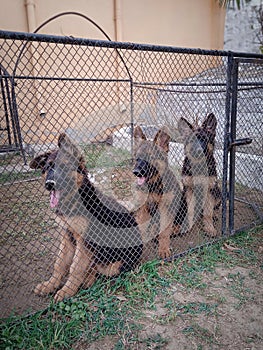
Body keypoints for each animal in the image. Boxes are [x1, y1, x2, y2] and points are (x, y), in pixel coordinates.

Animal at [29, 133, 143, 302]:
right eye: (47, 167)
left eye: (64, 167)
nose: (49, 184)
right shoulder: (68, 235)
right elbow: (60, 264)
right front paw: (50, 285)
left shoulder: (84, 241)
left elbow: (75, 267)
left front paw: (67, 290)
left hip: (114, 263)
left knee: (99, 268)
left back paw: (88, 279)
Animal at [132, 126, 186, 258]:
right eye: (137, 157)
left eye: (150, 158)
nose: (135, 172)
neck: (153, 186)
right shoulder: (143, 208)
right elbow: (142, 227)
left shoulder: (165, 208)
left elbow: (164, 232)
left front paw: (164, 249)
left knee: (177, 225)